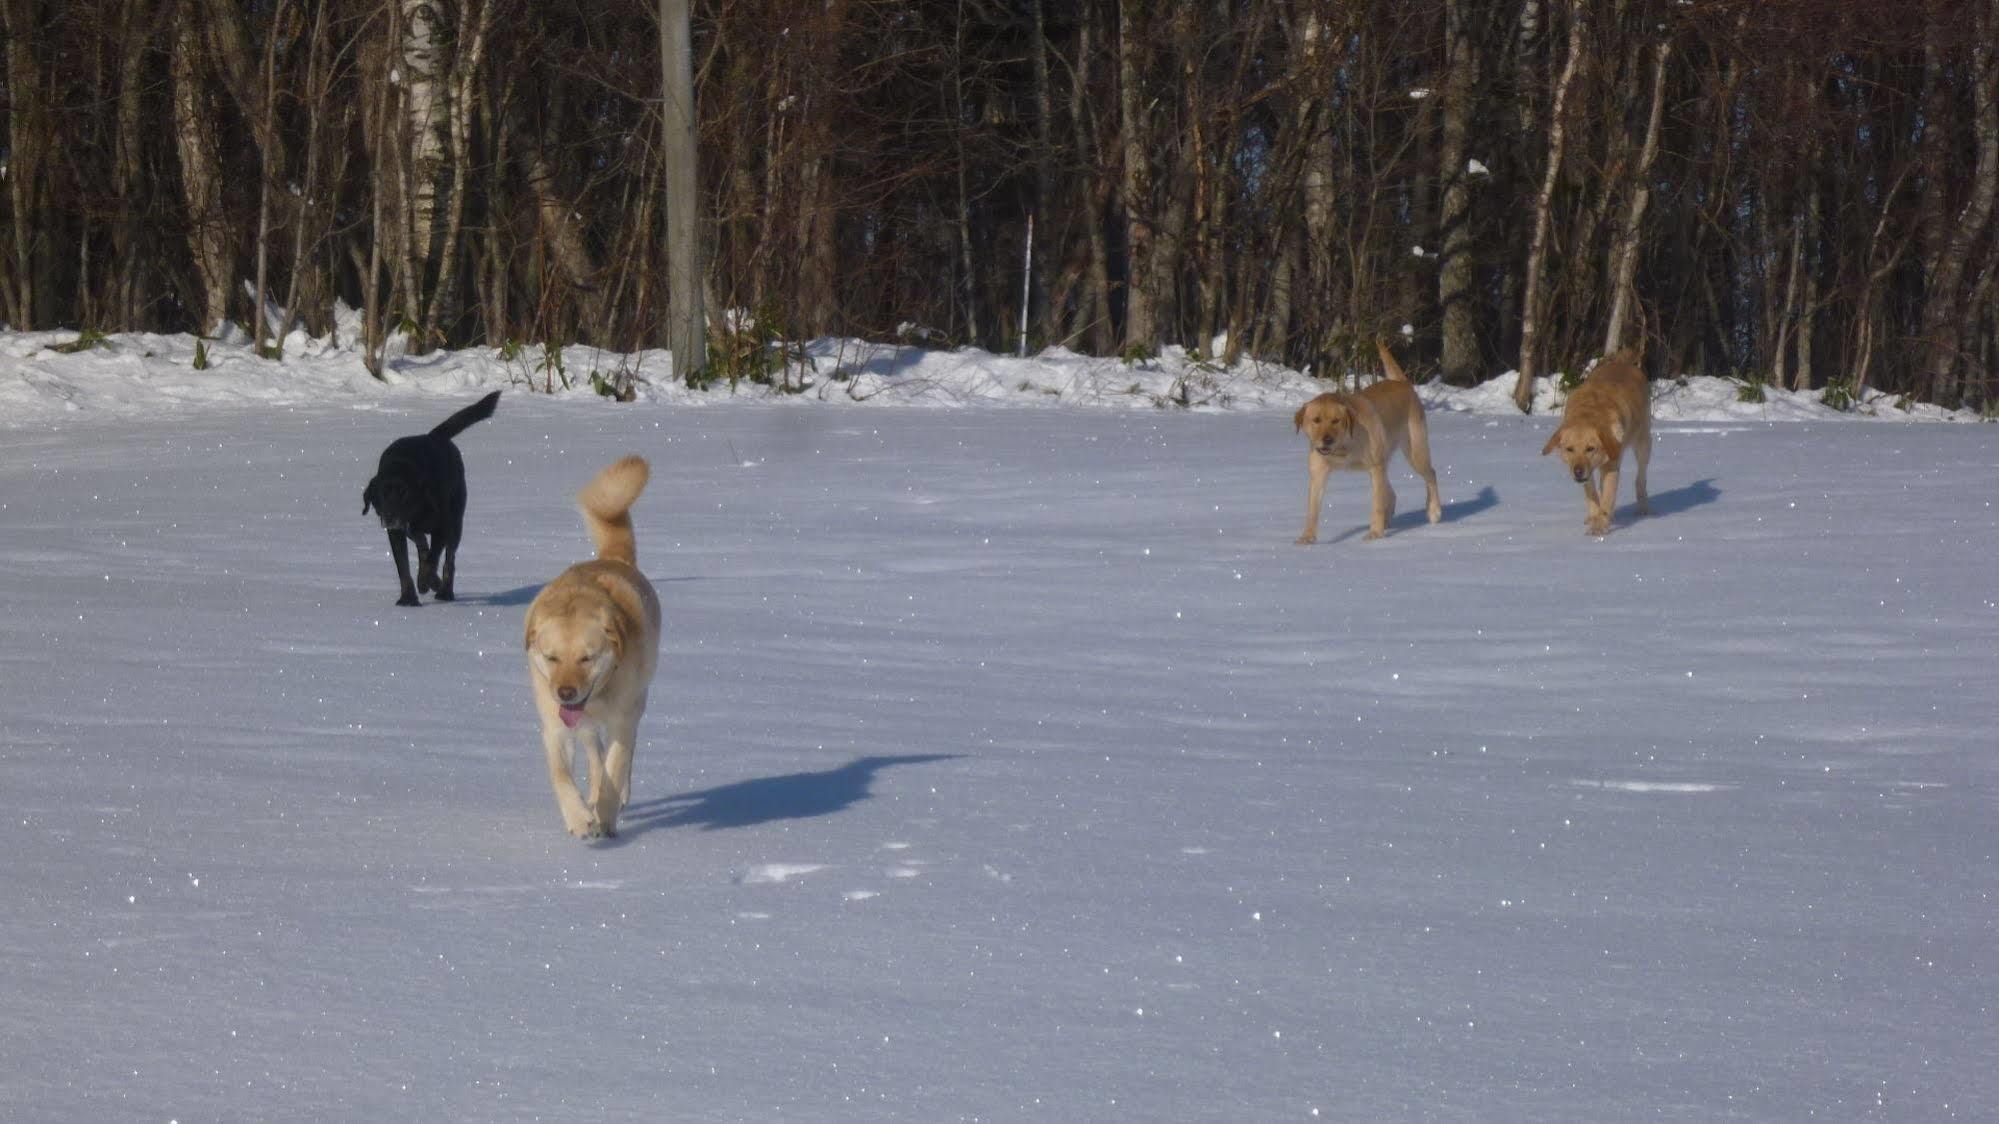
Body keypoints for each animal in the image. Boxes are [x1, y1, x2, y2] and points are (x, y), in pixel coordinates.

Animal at [363, 394, 499, 604]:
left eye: (404, 495)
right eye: (381, 496)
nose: (390, 517)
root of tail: (434, 436)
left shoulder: (442, 527)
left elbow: (432, 560)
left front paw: (427, 582)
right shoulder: (396, 532)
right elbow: (403, 566)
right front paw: (408, 598)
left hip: (456, 521)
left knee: (448, 560)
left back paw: (445, 592)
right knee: (422, 545)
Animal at [523, 452, 663, 832]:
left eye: (587, 657)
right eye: (552, 657)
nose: (566, 693)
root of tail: (613, 558)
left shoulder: (623, 718)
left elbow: (616, 766)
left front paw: (606, 814)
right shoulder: (556, 726)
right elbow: (561, 774)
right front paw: (579, 816)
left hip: (638, 701)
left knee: (620, 756)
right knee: (593, 753)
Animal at [1287, 336, 1447, 544]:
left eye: (1336, 421)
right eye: (1316, 420)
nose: (1327, 440)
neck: (1344, 446)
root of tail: (1403, 383)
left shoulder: (1375, 467)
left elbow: (1376, 505)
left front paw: (1375, 534)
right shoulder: (1318, 473)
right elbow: (1312, 509)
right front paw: (1307, 538)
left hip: (1414, 452)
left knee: (1430, 475)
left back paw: (1434, 511)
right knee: (1391, 493)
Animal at [1543, 350, 1655, 532]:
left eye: (1591, 448)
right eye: (1569, 449)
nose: (1578, 471)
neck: (1589, 411)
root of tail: (1622, 362)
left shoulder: (1612, 464)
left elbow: (1608, 496)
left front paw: (1600, 526)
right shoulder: (1589, 475)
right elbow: (1592, 495)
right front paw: (1595, 517)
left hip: (1643, 444)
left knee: (1640, 478)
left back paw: (1643, 507)